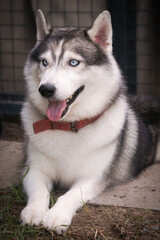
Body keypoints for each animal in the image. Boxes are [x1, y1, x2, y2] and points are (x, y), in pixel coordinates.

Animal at [20, 10, 159, 233]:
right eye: (44, 62)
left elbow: (69, 196)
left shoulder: (93, 178)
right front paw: (34, 211)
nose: (46, 89)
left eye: (73, 62)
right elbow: (39, 190)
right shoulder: (33, 170)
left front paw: (57, 215)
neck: (67, 127)